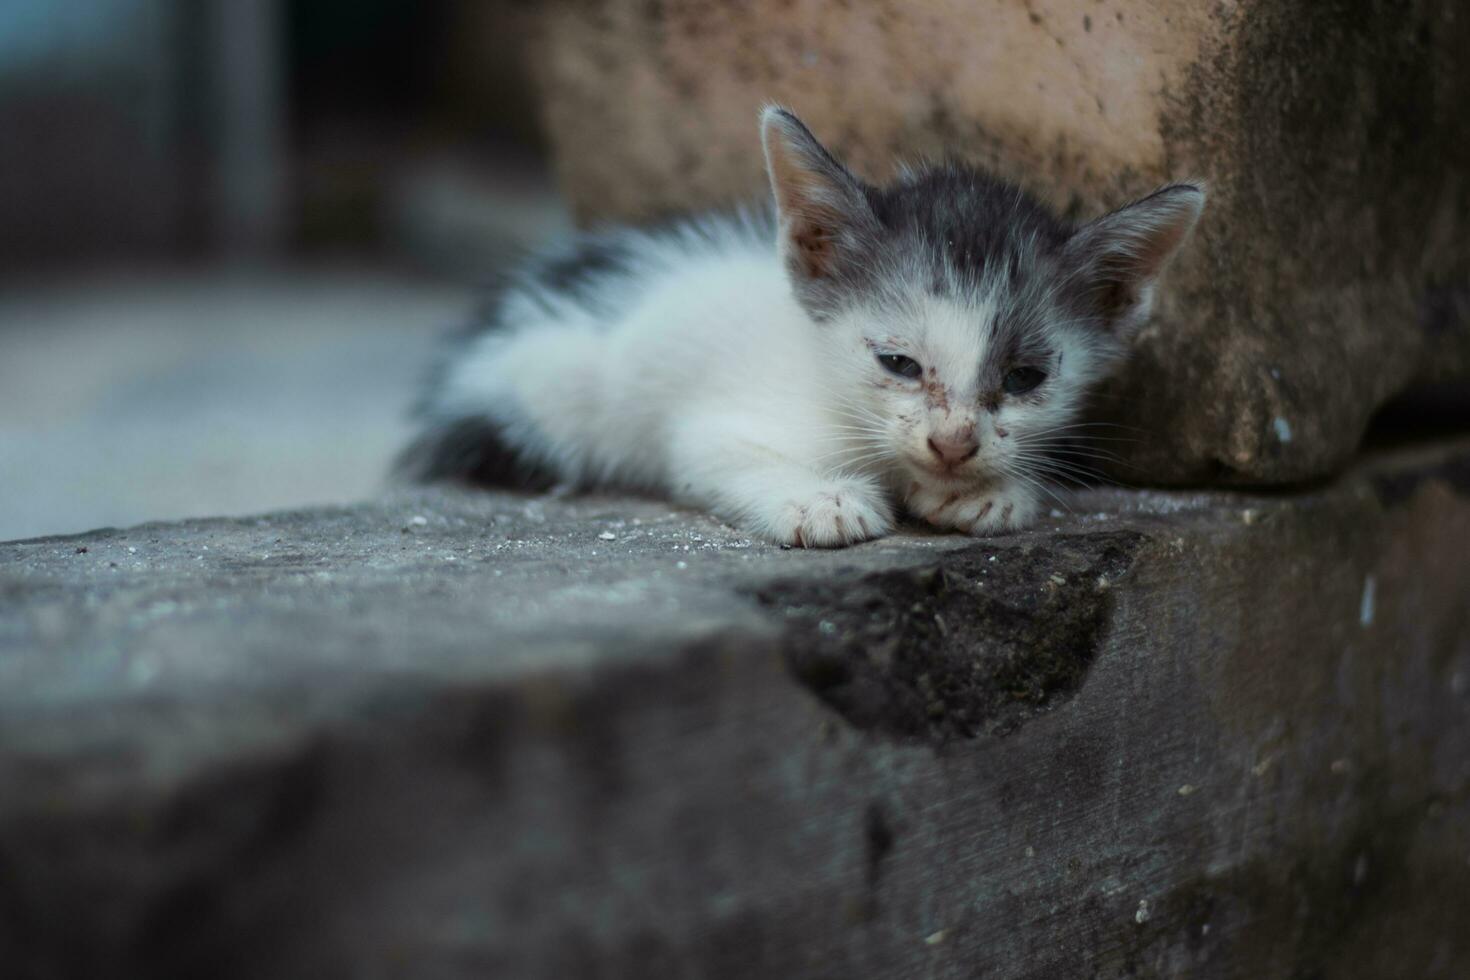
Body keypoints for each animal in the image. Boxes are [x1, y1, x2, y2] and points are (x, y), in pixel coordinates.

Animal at [396, 107, 1199, 552]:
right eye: (900, 363)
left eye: (1025, 377)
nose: (953, 444)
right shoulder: (707, 428)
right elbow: (716, 453)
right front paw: (822, 500)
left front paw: (995, 490)